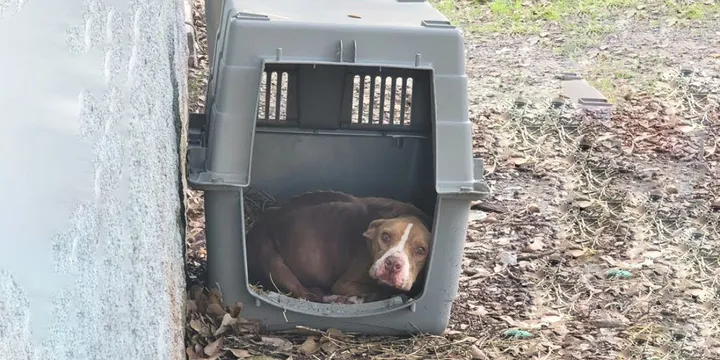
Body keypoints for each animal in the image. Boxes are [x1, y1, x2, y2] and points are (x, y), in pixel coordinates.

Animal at [246, 190, 434, 306]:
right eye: (385, 236)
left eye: (421, 250)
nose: (393, 263)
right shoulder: (344, 283)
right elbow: (379, 289)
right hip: (272, 260)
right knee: (307, 295)